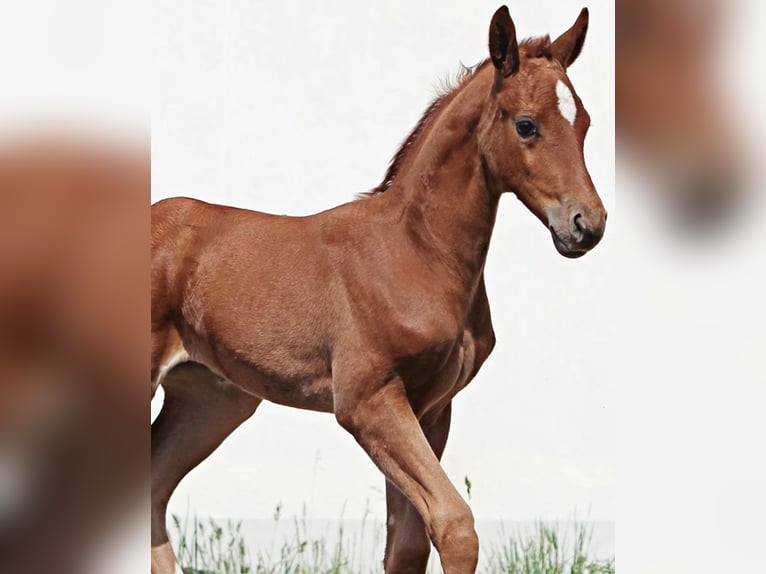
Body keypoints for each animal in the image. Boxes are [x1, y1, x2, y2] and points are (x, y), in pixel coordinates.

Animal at [150, 5, 608, 574]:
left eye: (584, 123)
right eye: (526, 125)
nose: (586, 224)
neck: (414, 251)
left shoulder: (431, 409)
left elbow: (408, 544)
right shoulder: (368, 401)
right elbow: (455, 525)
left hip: (211, 399)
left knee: (152, 491)